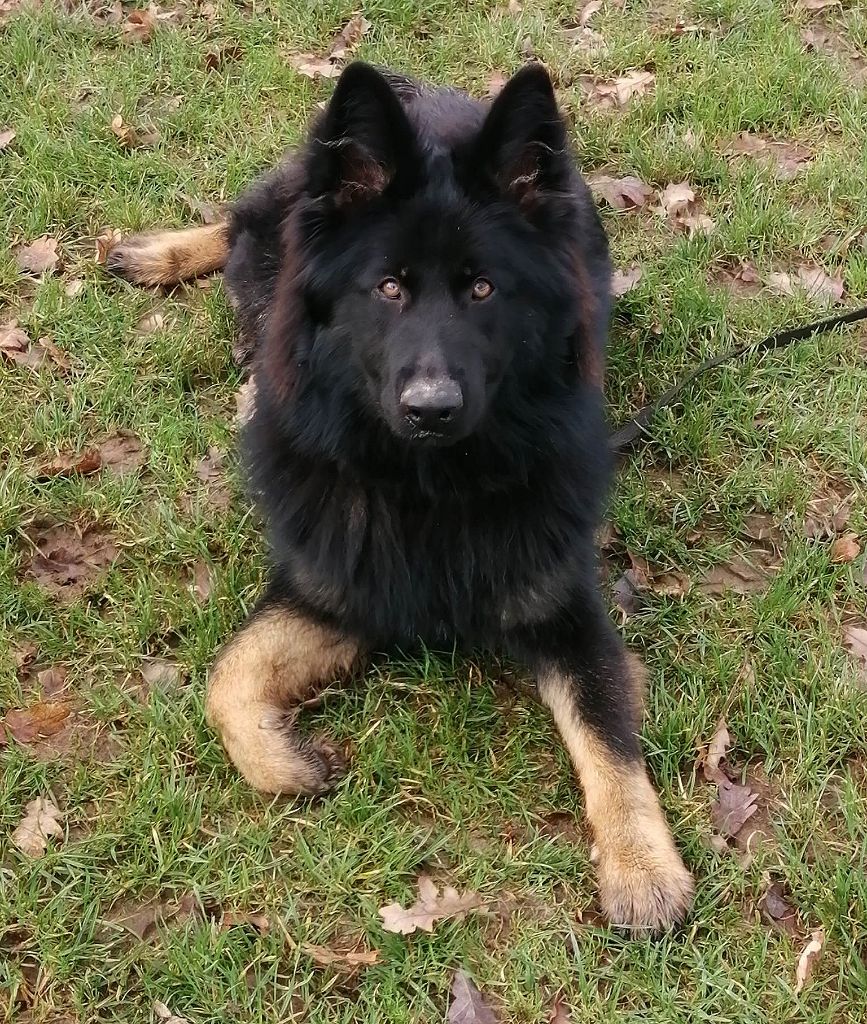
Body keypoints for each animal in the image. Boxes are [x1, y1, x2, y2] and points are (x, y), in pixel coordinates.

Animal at [108, 62, 694, 932]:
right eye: (387, 288)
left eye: (482, 289)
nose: (430, 408)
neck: (428, 488)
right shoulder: (335, 584)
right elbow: (226, 678)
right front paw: (289, 764)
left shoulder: (563, 609)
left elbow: (608, 740)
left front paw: (642, 868)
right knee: (248, 233)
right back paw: (168, 263)